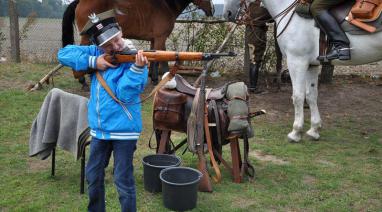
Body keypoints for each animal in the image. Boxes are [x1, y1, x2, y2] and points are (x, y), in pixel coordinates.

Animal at [61, 0, 213, 86]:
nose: (212, 9)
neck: (165, 6)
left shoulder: (154, 39)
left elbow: (154, 58)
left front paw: (153, 78)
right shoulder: (161, 37)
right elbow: (163, 61)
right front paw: (167, 80)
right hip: (87, 37)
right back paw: (82, 80)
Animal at [222, 0, 382, 142]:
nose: (227, 13)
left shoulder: (296, 62)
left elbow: (298, 96)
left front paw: (296, 132)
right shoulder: (311, 65)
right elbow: (311, 95)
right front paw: (314, 130)